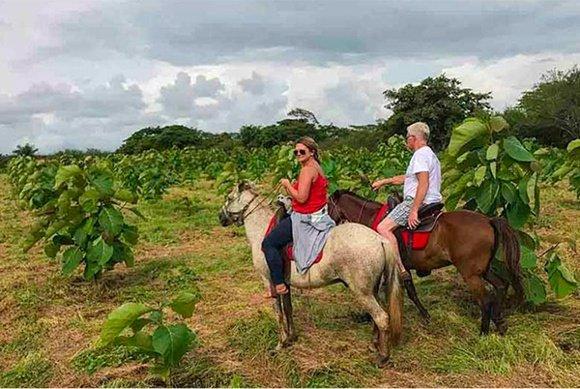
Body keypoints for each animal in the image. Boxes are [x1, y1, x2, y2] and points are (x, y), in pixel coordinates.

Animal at [218, 182, 404, 364]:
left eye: (229, 198)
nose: (220, 217)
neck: (262, 231)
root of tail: (380, 240)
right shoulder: (284, 284)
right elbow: (288, 309)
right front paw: (291, 338)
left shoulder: (269, 282)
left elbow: (278, 313)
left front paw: (281, 343)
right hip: (373, 289)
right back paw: (375, 345)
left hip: (362, 292)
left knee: (381, 317)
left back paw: (383, 356)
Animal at [328, 189, 524, 334]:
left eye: (326, 207)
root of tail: (489, 220)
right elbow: (409, 291)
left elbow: (381, 292)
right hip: (483, 270)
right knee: (501, 286)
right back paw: (499, 322)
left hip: (470, 274)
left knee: (485, 300)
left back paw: (483, 332)